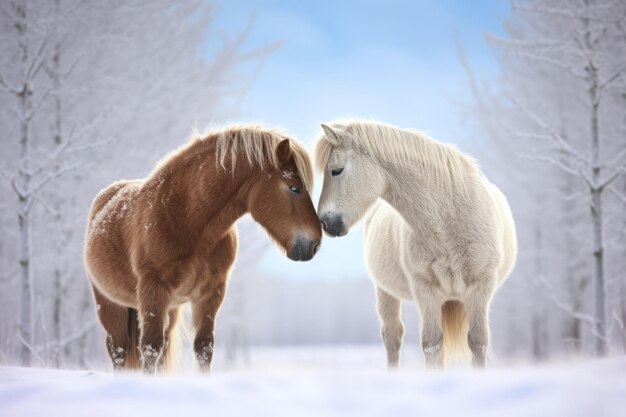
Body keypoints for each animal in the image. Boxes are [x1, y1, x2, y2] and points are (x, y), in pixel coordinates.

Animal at [83, 125, 320, 372]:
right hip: (111, 305)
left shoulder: (211, 293)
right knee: (120, 350)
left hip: (170, 310)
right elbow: (149, 349)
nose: (314, 243)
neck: (187, 219)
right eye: (294, 188)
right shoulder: (153, 289)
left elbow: (204, 348)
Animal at [314, 118, 516, 366]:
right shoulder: (425, 289)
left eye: (336, 170)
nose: (325, 222)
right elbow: (432, 345)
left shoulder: (481, 287)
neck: (450, 220)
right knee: (392, 337)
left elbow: (477, 344)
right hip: (386, 292)